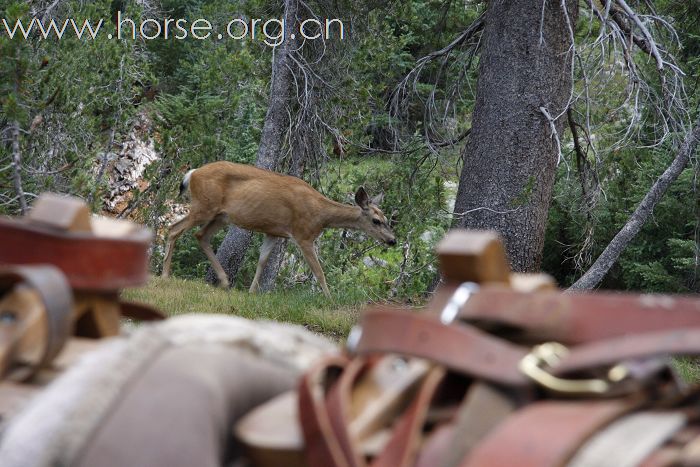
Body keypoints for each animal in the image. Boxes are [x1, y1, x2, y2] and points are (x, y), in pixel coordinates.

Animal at [161, 163, 396, 298]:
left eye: (386, 218)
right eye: (376, 220)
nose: (392, 240)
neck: (321, 214)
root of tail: (192, 173)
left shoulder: (274, 232)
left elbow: (262, 262)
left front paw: (252, 292)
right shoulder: (303, 235)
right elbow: (319, 271)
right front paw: (330, 300)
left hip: (221, 215)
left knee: (200, 235)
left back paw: (225, 282)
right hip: (204, 207)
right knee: (173, 229)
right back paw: (164, 275)